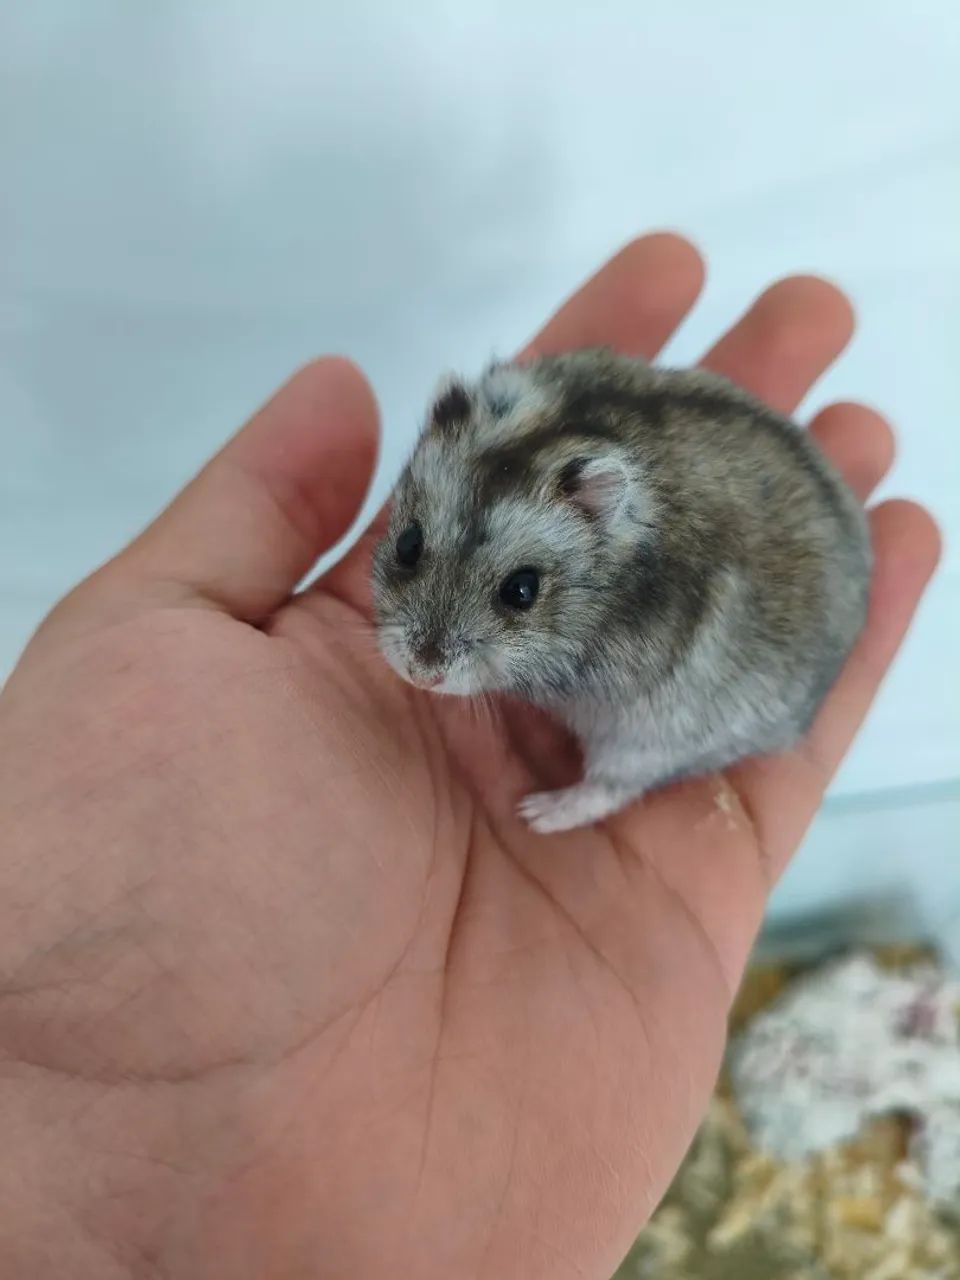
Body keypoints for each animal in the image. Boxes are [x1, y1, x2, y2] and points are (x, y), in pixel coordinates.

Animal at [371, 348, 871, 834]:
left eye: (522, 590)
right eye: (408, 544)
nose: (420, 673)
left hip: (649, 742)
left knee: (609, 791)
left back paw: (537, 814)